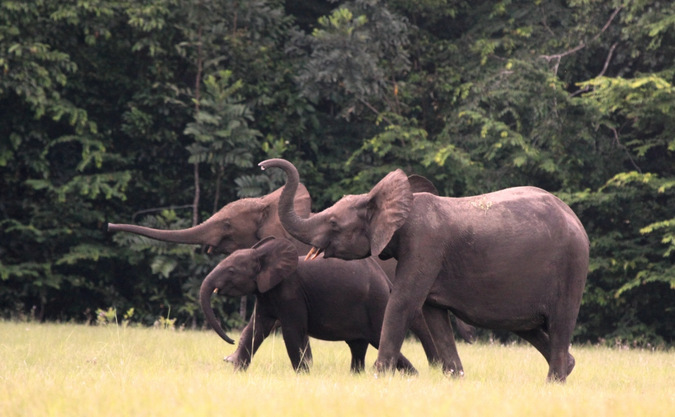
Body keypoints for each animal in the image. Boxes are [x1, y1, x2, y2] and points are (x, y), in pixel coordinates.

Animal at [202, 234, 418, 374]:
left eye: (231, 270)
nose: (230, 340)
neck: (263, 255)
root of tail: (386, 281)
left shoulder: (291, 292)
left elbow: (292, 331)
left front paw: (303, 375)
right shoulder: (266, 293)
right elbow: (256, 329)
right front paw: (237, 370)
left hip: (375, 303)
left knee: (378, 338)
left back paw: (411, 376)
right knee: (358, 346)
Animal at [256, 158, 588, 382]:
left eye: (334, 224)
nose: (263, 165)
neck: (400, 203)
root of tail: (575, 218)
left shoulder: (424, 244)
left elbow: (403, 302)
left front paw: (378, 377)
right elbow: (433, 313)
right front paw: (454, 378)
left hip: (572, 266)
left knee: (560, 322)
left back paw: (554, 381)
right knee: (526, 325)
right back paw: (569, 366)